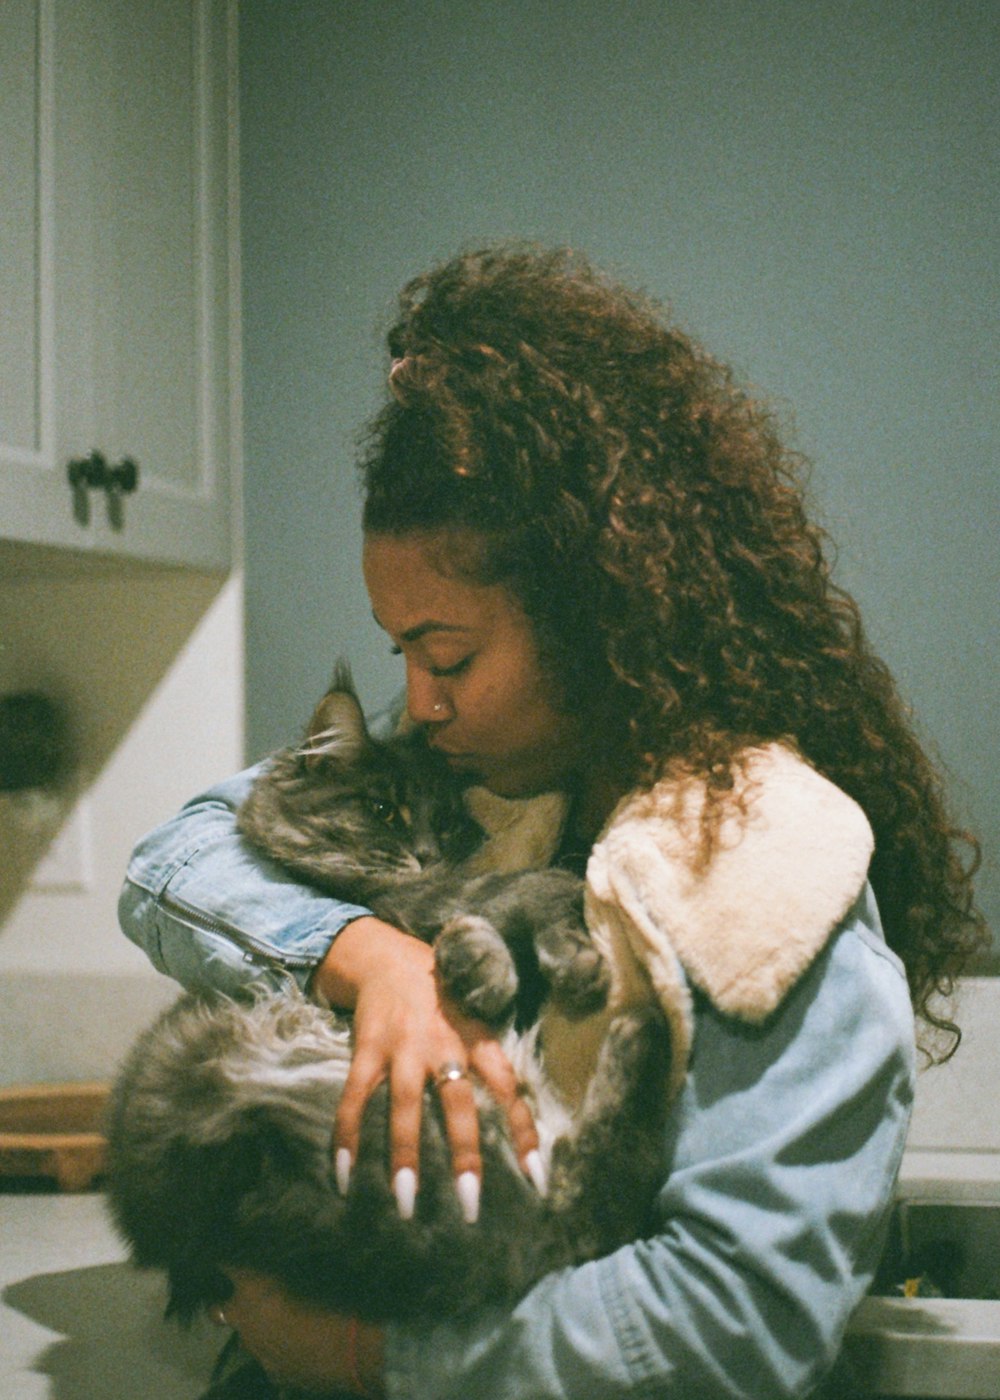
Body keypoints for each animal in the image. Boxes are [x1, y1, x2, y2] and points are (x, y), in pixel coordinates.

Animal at [105, 672, 669, 1327]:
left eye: (446, 823)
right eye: (383, 810)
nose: (425, 852)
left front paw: (497, 960)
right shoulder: (433, 900)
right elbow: (528, 889)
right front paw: (535, 960)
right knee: (592, 1198)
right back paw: (642, 1027)